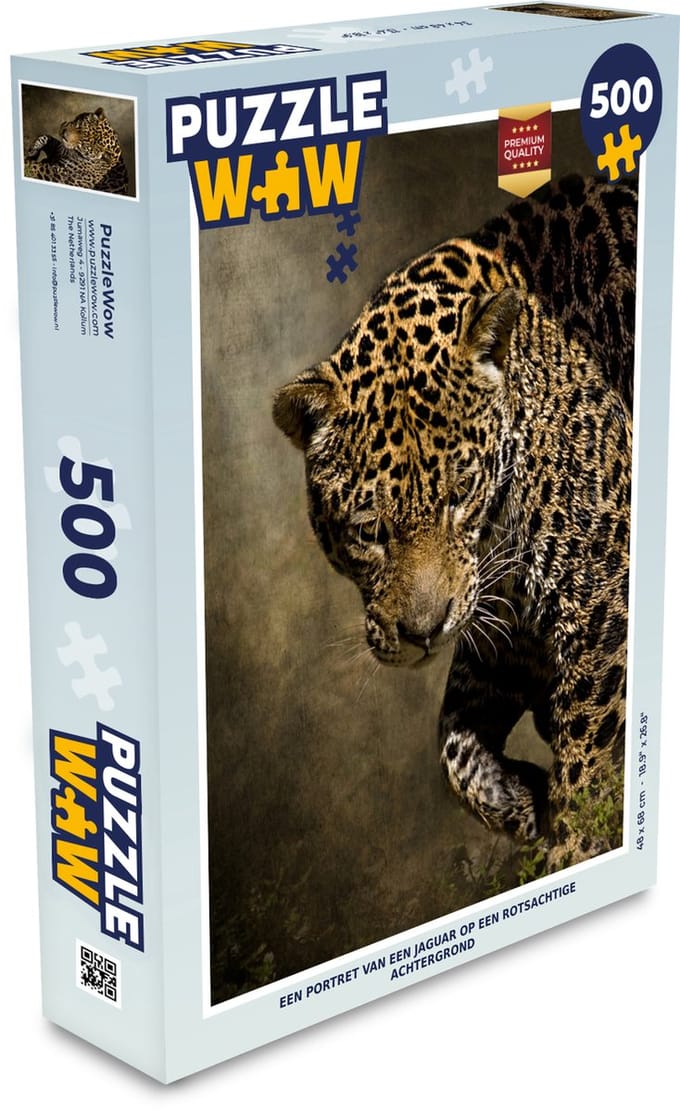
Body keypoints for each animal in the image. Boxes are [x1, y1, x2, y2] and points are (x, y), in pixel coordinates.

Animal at [273, 175, 635, 872]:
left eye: (460, 494)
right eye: (369, 532)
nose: (421, 634)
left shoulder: (602, 599)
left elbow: (588, 757)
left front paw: (574, 846)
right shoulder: (500, 629)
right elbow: (452, 741)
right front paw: (518, 796)